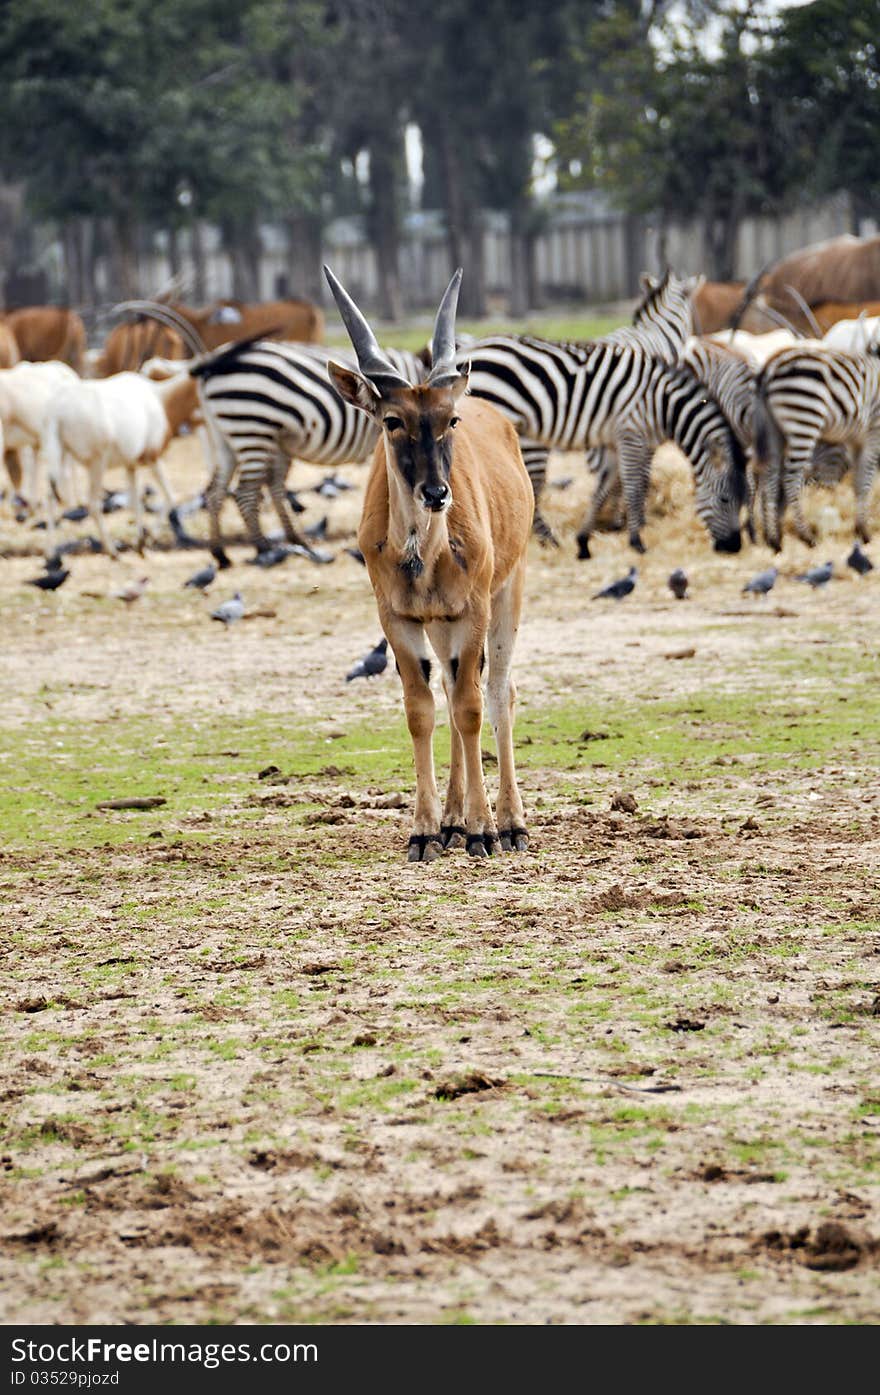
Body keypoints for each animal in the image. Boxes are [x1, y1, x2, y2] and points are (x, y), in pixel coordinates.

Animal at [191, 337, 429, 560]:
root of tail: (211, 364)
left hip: (227, 436)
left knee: (216, 491)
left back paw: (221, 553)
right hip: (253, 427)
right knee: (245, 492)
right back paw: (263, 547)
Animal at [323, 263, 529, 859]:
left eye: (450, 419)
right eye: (392, 420)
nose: (437, 493)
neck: (423, 554)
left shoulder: (475, 609)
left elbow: (471, 708)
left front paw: (484, 830)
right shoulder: (397, 618)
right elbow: (422, 710)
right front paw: (425, 829)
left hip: (508, 592)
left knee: (497, 691)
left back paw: (509, 822)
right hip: (440, 626)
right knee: (452, 691)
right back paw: (453, 822)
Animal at [457, 332, 747, 555]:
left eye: (743, 501)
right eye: (724, 499)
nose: (734, 547)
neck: (664, 405)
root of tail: (468, 352)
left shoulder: (615, 442)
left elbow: (604, 487)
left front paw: (584, 541)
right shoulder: (632, 434)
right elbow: (635, 486)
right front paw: (637, 541)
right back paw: (545, 540)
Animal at [753, 343, 880, 549]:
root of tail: (770, 366)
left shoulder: (857, 439)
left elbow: (858, 481)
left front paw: (860, 529)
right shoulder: (873, 433)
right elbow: (866, 480)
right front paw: (864, 532)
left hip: (773, 428)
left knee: (769, 475)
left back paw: (773, 539)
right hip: (805, 419)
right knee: (790, 478)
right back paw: (806, 536)